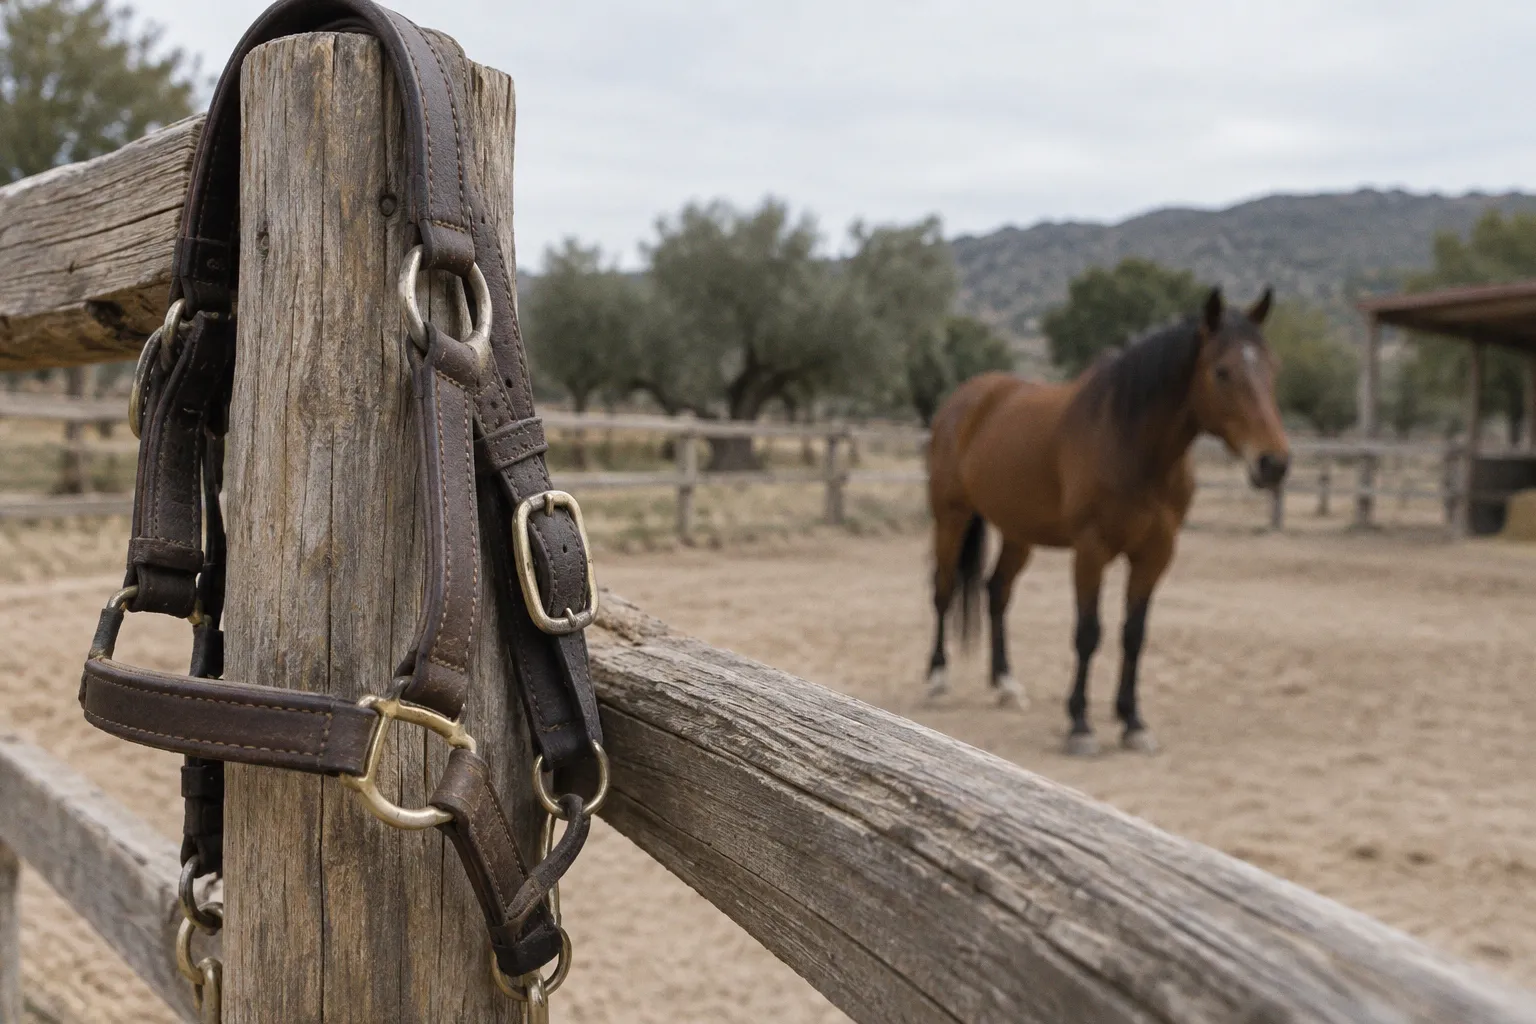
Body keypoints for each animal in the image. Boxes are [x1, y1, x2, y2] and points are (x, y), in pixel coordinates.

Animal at [923, 286, 1290, 755]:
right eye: (1222, 371)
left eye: (1272, 368)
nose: (1273, 463)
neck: (1131, 444)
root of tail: (966, 398)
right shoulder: (1091, 548)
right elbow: (1088, 631)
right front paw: (1080, 724)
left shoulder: (1156, 552)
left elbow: (1134, 634)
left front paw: (1133, 721)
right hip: (951, 517)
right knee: (943, 588)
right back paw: (937, 677)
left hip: (1018, 532)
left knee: (996, 592)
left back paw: (1006, 684)